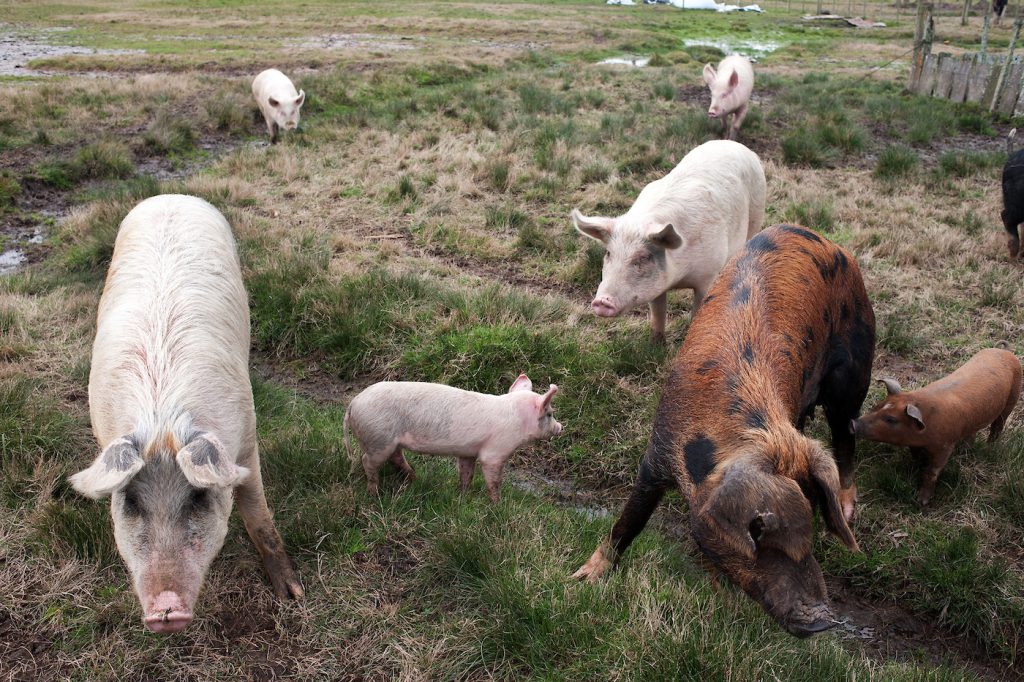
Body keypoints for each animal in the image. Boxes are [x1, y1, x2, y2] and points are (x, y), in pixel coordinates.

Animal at [67, 192, 299, 630]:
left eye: (197, 497)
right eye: (130, 502)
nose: (166, 610)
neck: (163, 424)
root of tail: (170, 195)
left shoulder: (247, 439)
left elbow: (258, 514)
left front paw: (292, 595)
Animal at [348, 372, 565, 499]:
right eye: (549, 414)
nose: (560, 427)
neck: (518, 421)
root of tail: (353, 403)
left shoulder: (467, 452)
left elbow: (466, 473)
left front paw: (463, 496)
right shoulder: (495, 451)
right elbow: (494, 480)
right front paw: (497, 504)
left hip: (388, 441)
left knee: (396, 458)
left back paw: (415, 479)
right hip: (377, 437)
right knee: (367, 461)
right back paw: (374, 494)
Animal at [573, 139, 765, 339]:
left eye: (644, 257)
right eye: (609, 253)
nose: (602, 301)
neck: (679, 278)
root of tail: (733, 143)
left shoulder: (708, 275)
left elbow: (698, 310)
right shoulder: (657, 287)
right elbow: (658, 313)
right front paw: (657, 341)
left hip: (757, 213)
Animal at [573, 224, 876, 638]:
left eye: (812, 522)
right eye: (758, 531)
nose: (821, 622)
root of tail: (824, 240)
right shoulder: (657, 453)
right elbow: (630, 520)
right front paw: (581, 579)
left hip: (855, 368)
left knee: (846, 436)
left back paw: (848, 510)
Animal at [847, 346, 1015, 503]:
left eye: (891, 419)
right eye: (877, 406)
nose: (853, 423)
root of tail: (1004, 350)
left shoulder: (946, 446)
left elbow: (932, 472)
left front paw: (921, 501)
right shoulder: (913, 443)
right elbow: (916, 458)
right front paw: (915, 469)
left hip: (1012, 398)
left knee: (998, 426)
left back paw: (990, 447)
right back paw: (965, 451)